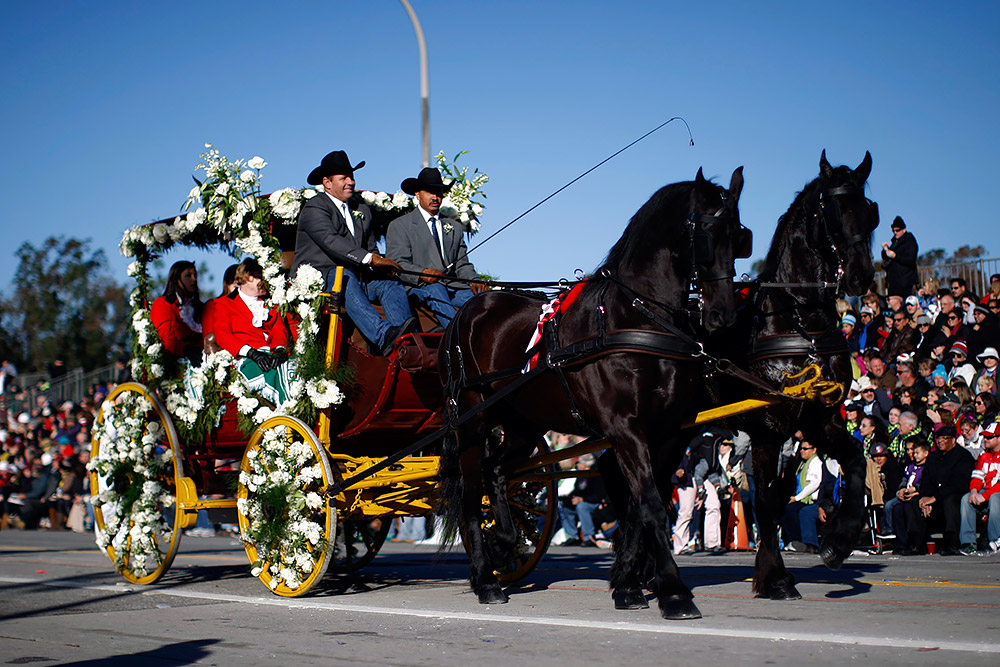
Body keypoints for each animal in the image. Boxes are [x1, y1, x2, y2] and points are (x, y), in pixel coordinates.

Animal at [442, 167, 748, 620]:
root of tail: (467, 310)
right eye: (705, 232)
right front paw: (673, 591)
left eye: (739, 234)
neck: (637, 319)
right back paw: (485, 579)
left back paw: (503, 544)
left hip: (524, 426)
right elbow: (651, 505)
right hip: (473, 421)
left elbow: (643, 505)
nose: (722, 315)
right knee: (469, 492)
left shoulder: (668, 433)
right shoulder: (626, 430)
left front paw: (631, 585)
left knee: (496, 472)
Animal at [708, 151, 880, 600]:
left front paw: (838, 541)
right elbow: (767, 502)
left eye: (869, 211)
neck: (800, 325)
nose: (861, 275)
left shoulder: (821, 419)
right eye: (832, 210)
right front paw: (774, 576)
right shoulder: (767, 429)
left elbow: (855, 462)